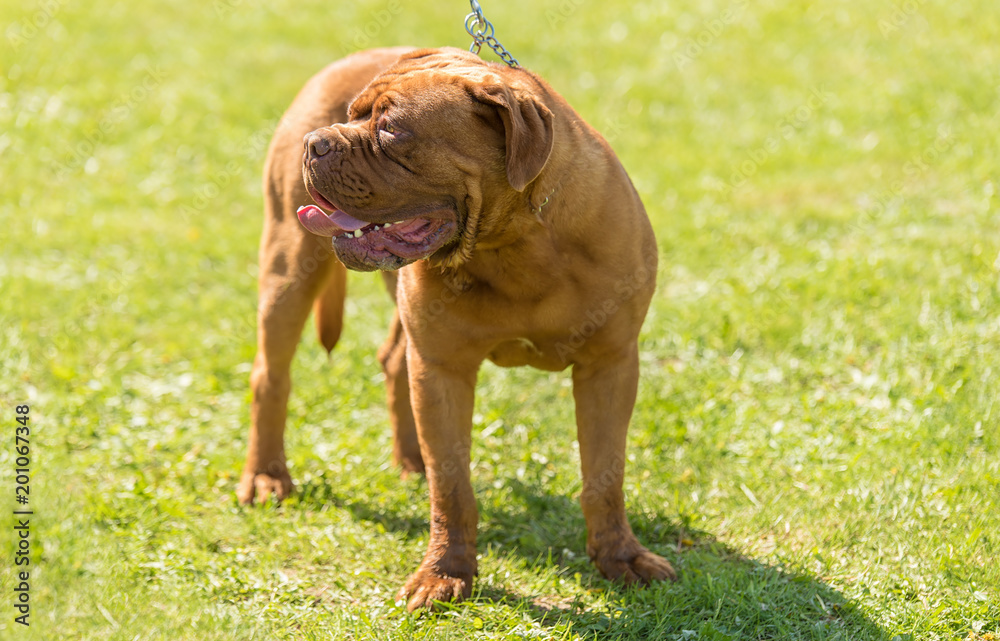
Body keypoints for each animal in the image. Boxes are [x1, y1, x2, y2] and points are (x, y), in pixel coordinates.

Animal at [236, 46, 672, 608]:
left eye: (392, 131)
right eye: (353, 114)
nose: (318, 142)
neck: (514, 244)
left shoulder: (610, 365)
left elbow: (605, 474)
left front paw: (621, 558)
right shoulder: (442, 370)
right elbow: (453, 488)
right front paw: (445, 573)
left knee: (393, 360)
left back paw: (410, 460)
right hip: (288, 268)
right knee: (271, 376)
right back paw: (267, 477)